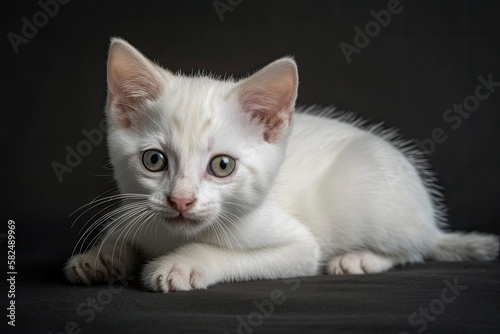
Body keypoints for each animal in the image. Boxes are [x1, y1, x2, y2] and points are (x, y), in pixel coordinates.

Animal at [64, 37, 498, 290]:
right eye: (154, 160)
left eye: (222, 166)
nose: (181, 201)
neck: (173, 235)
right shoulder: (134, 209)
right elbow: (121, 233)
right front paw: (99, 258)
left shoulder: (298, 248)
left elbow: (233, 254)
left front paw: (183, 265)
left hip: (377, 204)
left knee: (414, 248)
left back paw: (360, 259)